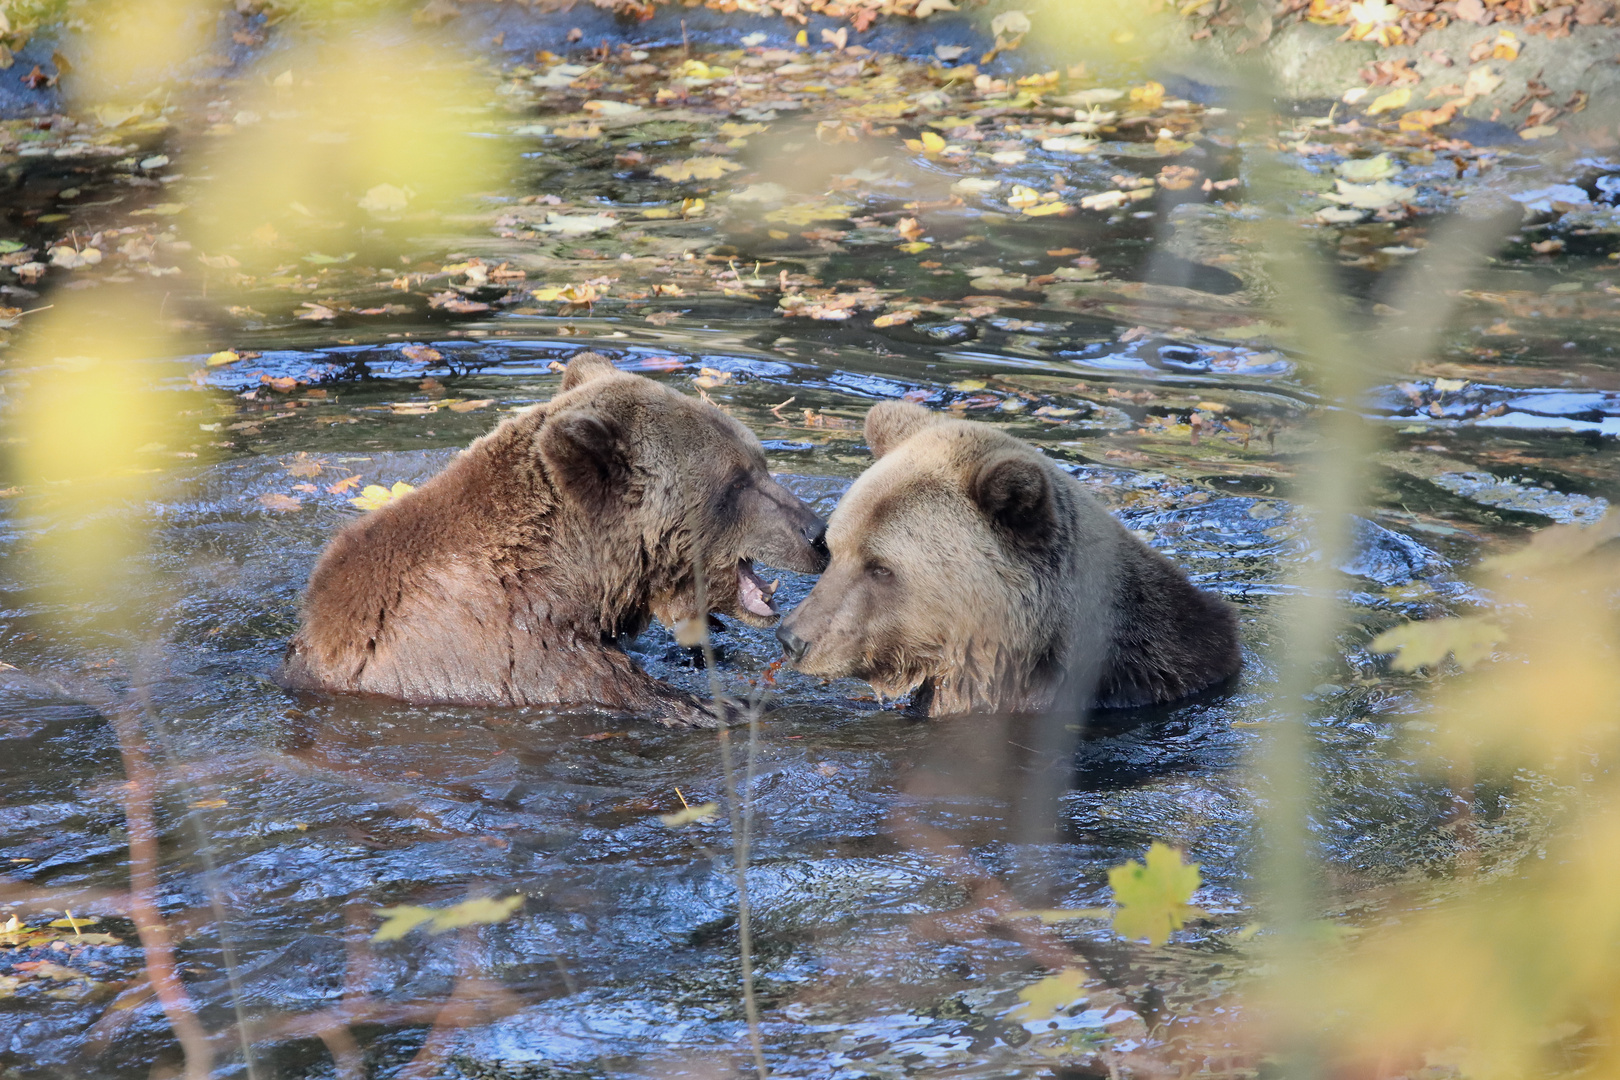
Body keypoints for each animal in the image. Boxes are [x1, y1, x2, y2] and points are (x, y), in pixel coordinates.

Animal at [280, 354, 829, 725]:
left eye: (759, 461)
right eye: (736, 482)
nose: (818, 534)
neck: (569, 576)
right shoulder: (522, 660)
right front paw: (729, 706)